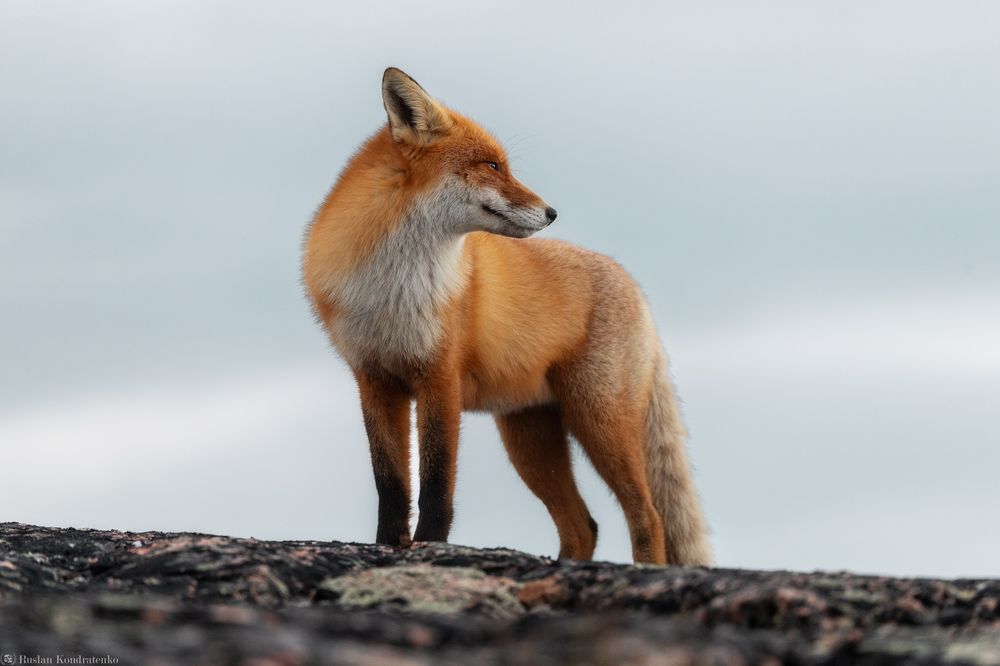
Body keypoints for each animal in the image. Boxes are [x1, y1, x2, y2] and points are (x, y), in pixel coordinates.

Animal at [302, 67, 712, 566]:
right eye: (493, 166)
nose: (552, 212)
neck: (392, 289)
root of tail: (631, 281)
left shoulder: (441, 378)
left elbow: (437, 485)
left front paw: (430, 546)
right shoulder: (374, 381)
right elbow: (392, 486)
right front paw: (387, 547)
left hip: (599, 421)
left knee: (648, 518)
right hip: (529, 440)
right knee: (584, 526)